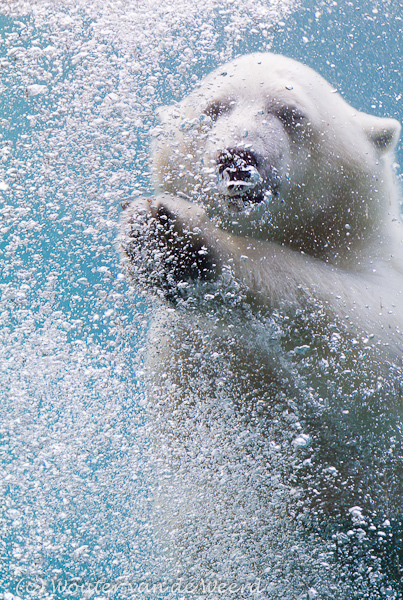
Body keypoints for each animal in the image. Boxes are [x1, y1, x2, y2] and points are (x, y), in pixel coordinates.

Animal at [120, 55, 403, 596]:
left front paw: (185, 242)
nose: (237, 157)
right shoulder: (187, 359)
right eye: (214, 109)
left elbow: (373, 340)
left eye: (290, 114)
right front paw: (153, 241)